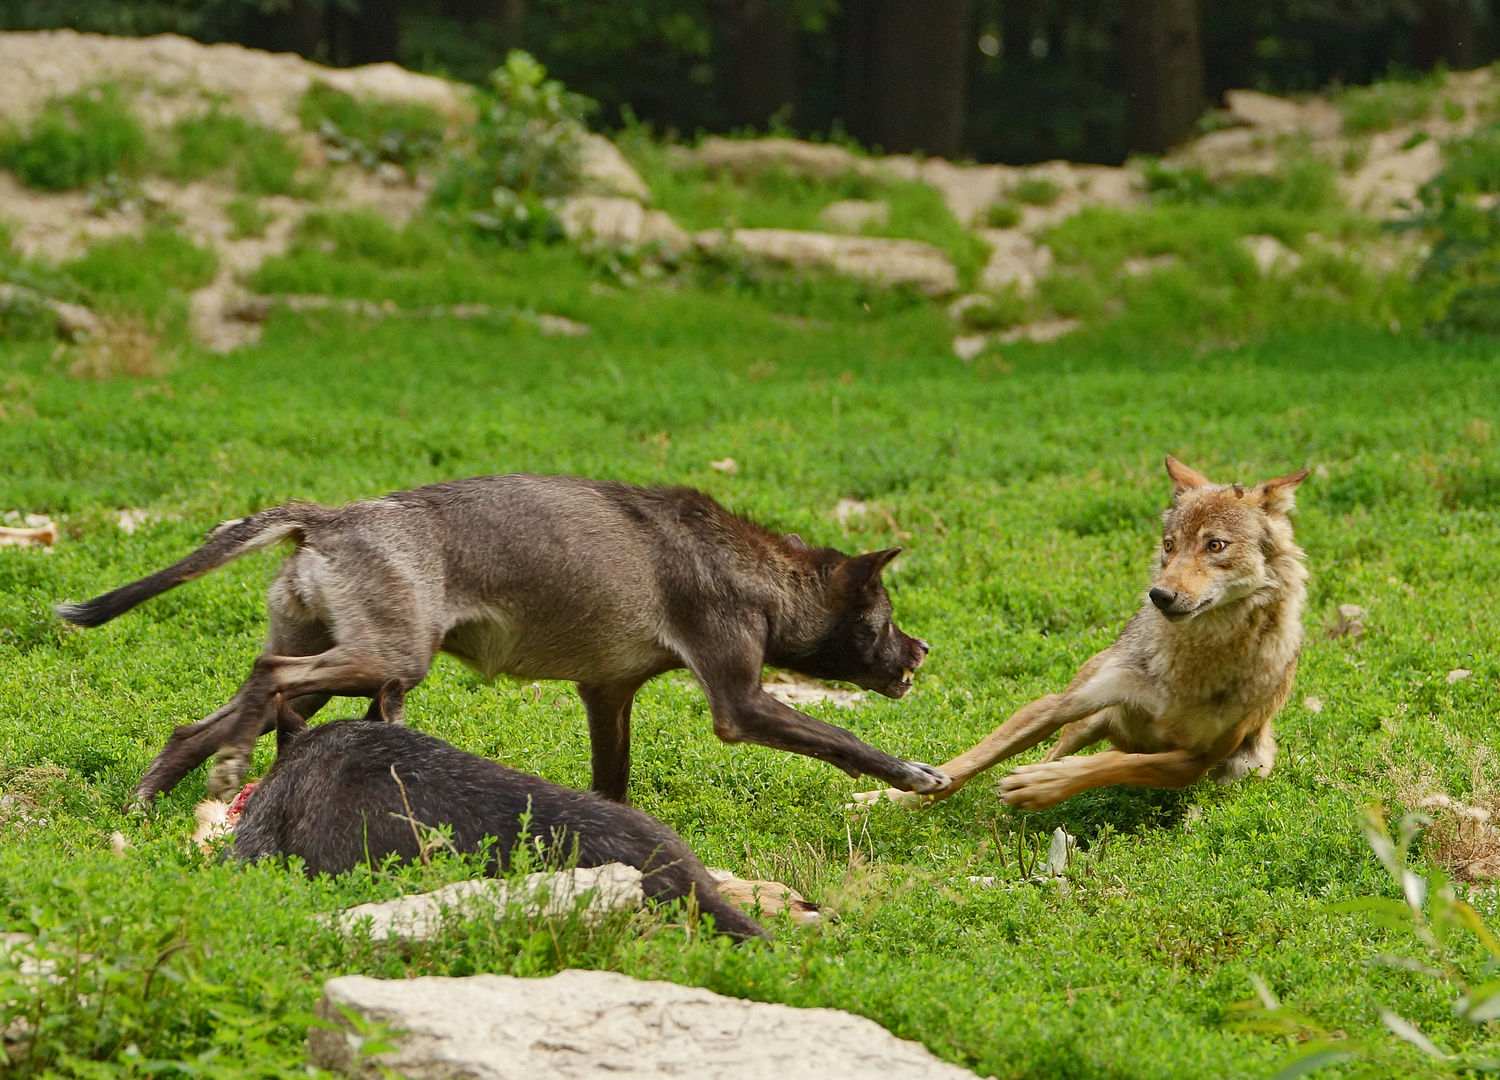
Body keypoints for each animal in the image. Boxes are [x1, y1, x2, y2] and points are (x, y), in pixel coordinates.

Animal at [61, 477, 948, 804]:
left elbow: (611, 787)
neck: (757, 573)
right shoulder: (740, 702)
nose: (921, 654)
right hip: (385, 659)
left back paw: (155, 797)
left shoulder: (607, 696)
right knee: (268, 671)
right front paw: (916, 774)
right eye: (887, 615)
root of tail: (327, 518)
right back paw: (232, 767)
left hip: (343, 664)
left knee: (207, 717)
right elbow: (842, 738)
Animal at [852, 456, 1308, 810]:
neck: (1191, 663)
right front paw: (891, 797)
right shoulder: (1059, 704)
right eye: (1169, 545)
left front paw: (1043, 786)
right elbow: (965, 763)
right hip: (1086, 721)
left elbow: (1115, 765)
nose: (1159, 595)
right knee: (1050, 750)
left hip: (1247, 763)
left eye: (1215, 546)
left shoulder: (1192, 762)